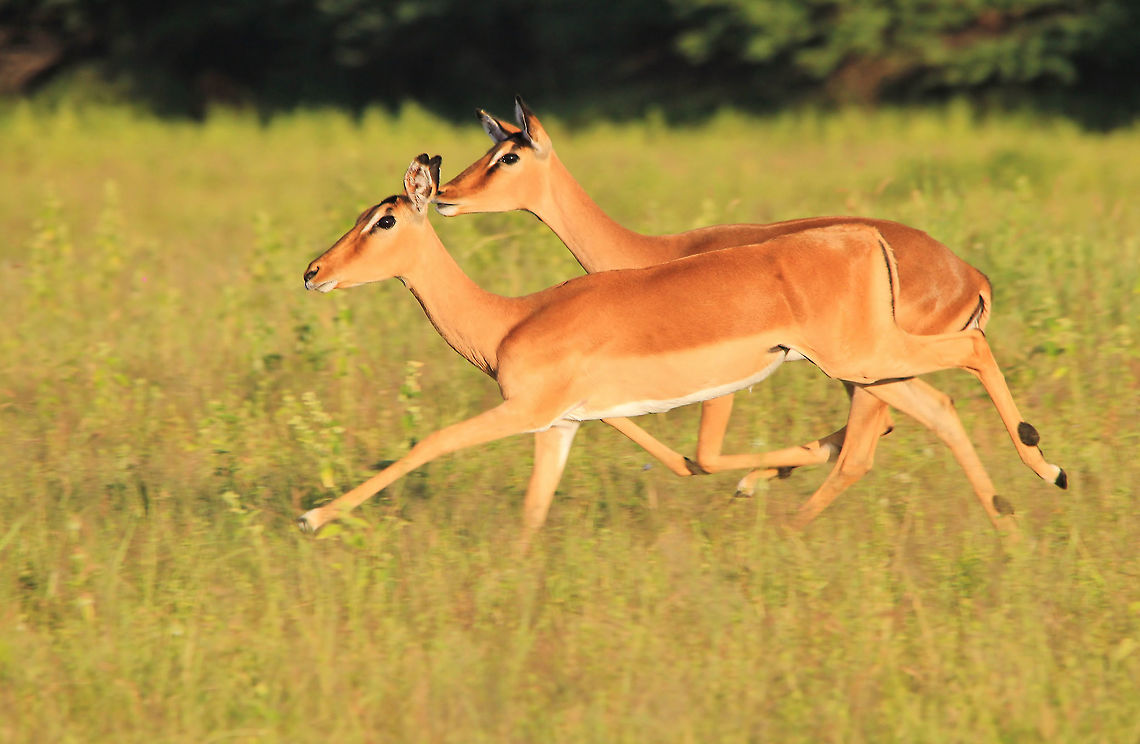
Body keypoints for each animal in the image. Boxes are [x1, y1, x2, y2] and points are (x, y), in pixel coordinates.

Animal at [297, 154, 1064, 542]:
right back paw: (1007, 512)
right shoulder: (562, 426)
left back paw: (1048, 469)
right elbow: (535, 513)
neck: (510, 320)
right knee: (934, 408)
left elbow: (429, 442)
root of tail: (865, 239)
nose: (313, 271)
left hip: (861, 361)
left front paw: (314, 516)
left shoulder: (526, 411)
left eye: (384, 219)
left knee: (963, 362)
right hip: (869, 365)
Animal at [434, 97, 1041, 527]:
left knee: (871, 444)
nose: (443, 192)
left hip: (868, 367)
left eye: (508, 155)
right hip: (871, 371)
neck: (654, 255)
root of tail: (972, 278)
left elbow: (702, 452)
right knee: (930, 414)